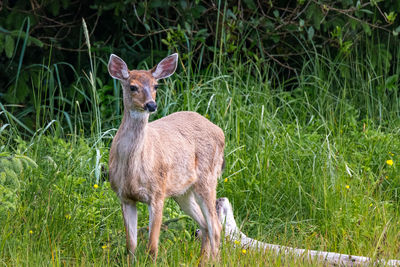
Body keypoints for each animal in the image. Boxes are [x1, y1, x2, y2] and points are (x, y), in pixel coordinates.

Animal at [106, 52, 225, 264]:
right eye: (132, 86)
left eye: (156, 86)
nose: (151, 105)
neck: (132, 169)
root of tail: (220, 131)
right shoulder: (124, 196)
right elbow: (131, 246)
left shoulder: (158, 193)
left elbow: (152, 247)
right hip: (182, 192)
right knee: (204, 225)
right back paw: (201, 261)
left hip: (207, 178)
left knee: (216, 227)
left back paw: (214, 261)